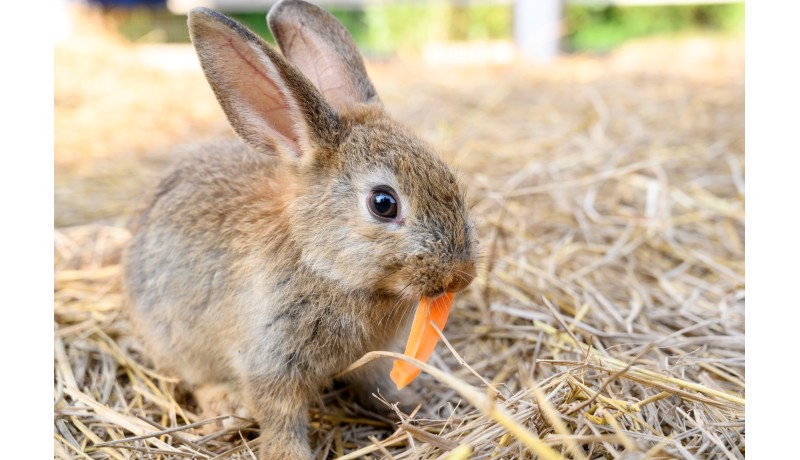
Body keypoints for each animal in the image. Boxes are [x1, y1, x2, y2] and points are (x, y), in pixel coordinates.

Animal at [122, 1, 478, 458]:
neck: (322, 264)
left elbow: (380, 387)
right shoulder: (270, 361)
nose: (462, 275)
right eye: (383, 203)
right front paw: (288, 453)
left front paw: (419, 408)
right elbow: (280, 418)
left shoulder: (371, 359)